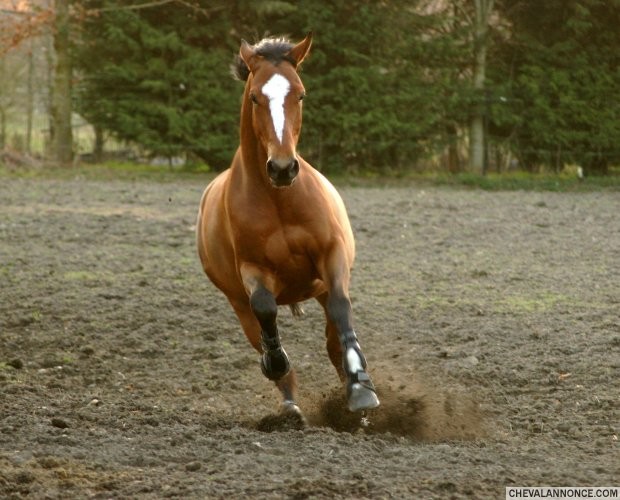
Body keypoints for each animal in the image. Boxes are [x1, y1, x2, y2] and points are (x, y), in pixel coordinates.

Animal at [196, 32, 380, 422]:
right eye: (255, 97)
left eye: (300, 94)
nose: (282, 168)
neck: (279, 199)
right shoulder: (252, 269)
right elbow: (265, 308)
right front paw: (276, 362)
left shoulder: (332, 256)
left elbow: (341, 309)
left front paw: (361, 390)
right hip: (236, 302)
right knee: (259, 330)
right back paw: (290, 406)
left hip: (319, 287)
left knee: (332, 339)